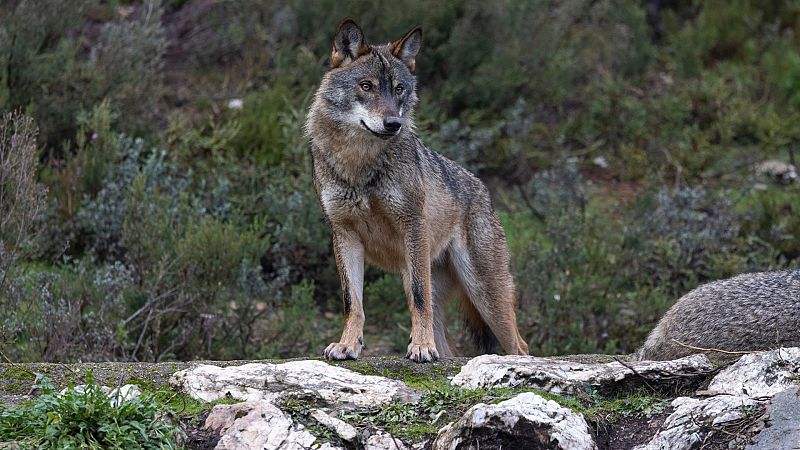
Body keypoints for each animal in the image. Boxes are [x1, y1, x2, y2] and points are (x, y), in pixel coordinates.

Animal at [304, 19, 529, 362]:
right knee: (449, 349)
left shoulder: (412, 226)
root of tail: (483, 190)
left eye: (399, 89)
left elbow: (419, 301)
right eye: (366, 86)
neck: (359, 164)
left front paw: (421, 346)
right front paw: (348, 344)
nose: (393, 123)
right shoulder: (344, 235)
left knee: (520, 345)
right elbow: (351, 301)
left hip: (484, 294)